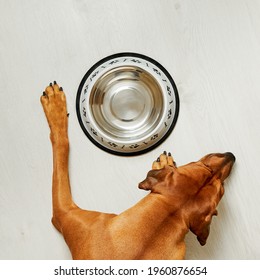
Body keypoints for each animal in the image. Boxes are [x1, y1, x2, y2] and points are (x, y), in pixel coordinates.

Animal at [40, 81, 236, 260]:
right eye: (205, 168)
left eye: (222, 189)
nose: (231, 156)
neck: (166, 218)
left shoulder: (62, 213)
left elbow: (61, 147)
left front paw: (55, 108)